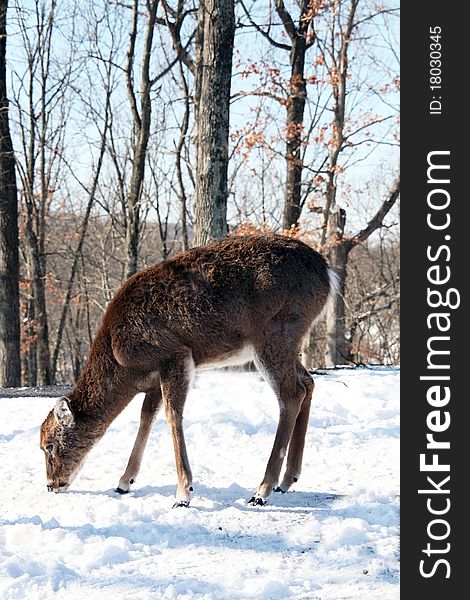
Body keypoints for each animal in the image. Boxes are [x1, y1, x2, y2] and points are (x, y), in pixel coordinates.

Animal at [39, 234, 334, 506]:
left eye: (49, 445)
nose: (51, 485)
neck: (122, 361)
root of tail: (328, 274)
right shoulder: (154, 375)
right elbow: (147, 416)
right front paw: (125, 481)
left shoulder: (174, 354)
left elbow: (173, 416)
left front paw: (183, 493)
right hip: (288, 340)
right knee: (308, 382)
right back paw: (288, 479)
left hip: (277, 330)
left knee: (291, 394)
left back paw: (262, 490)